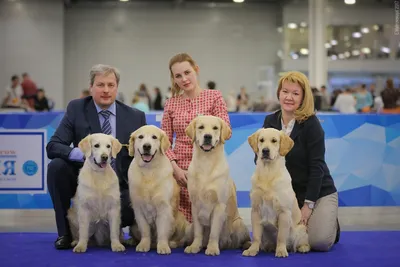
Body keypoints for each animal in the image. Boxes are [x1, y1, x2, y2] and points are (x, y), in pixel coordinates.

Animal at [128, 125, 191, 255]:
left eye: (154, 137)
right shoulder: (138, 208)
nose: (147, 146)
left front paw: (163, 246)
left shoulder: (164, 207)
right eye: (140, 137)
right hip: (133, 225)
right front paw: (143, 245)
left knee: (179, 239)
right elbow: (145, 230)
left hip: (182, 221)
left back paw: (172, 243)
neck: (148, 170)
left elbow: (162, 230)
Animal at [184, 116, 250, 256]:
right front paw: (194, 246)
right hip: (190, 227)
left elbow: (214, 231)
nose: (207, 136)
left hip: (238, 223)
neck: (206, 162)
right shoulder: (195, 205)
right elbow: (198, 232)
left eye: (215, 128)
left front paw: (213, 248)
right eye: (201, 127)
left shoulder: (219, 205)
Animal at [242, 129, 310, 258]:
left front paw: (281, 251)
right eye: (261, 140)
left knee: (303, 242)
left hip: (300, 229)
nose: (265, 150)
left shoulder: (284, 212)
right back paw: (268, 247)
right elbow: (256, 236)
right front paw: (252, 250)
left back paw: (302, 248)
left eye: (274, 141)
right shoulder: (255, 210)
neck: (268, 172)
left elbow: (281, 236)